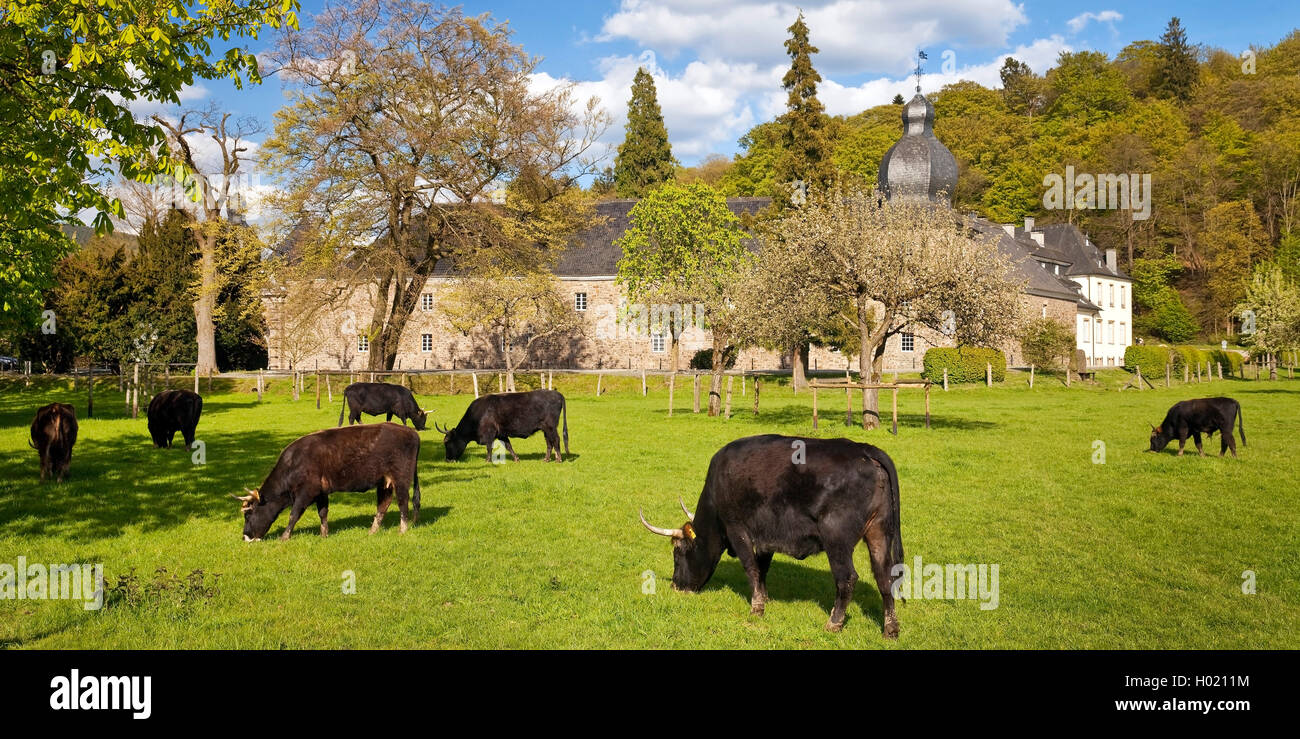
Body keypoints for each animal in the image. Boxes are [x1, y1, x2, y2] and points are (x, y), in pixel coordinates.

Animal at [231, 421, 418, 543]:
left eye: (248, 514)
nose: (245, 536)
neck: (294, 463)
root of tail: (410, 431)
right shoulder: (321, 493)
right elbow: (323, 513)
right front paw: (324, 534)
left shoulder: (306, 492)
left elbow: (294, 514)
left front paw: (285, 536)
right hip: (384, 482)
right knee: (383, 505)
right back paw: (372, 531)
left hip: (401, 478)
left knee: (403, 502)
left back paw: (402, 530)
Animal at [436, 387, 569, 463]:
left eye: (447, 443)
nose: (447, 460)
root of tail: (556, 393)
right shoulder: (501, 434)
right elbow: (508, 446)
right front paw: (516, 459)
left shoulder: (489, 433)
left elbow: (489, 447)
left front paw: (488, 460)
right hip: (545, 429)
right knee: (549, 443)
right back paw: (546, 459)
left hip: (551, 427)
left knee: (556, 440)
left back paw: (558, 459)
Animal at [639, 437, 904, 637]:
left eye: (678, 553)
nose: (676, 586)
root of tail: (864, 449)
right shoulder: (766, 537)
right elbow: (763, 567)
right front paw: (765, 597)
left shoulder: (738, 530)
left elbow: (750, 567)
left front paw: (757, 607)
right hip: (879, 533)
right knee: (884, 577)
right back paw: (890, 628)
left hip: (836, 540)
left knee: (847, 578)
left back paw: (834, 622)